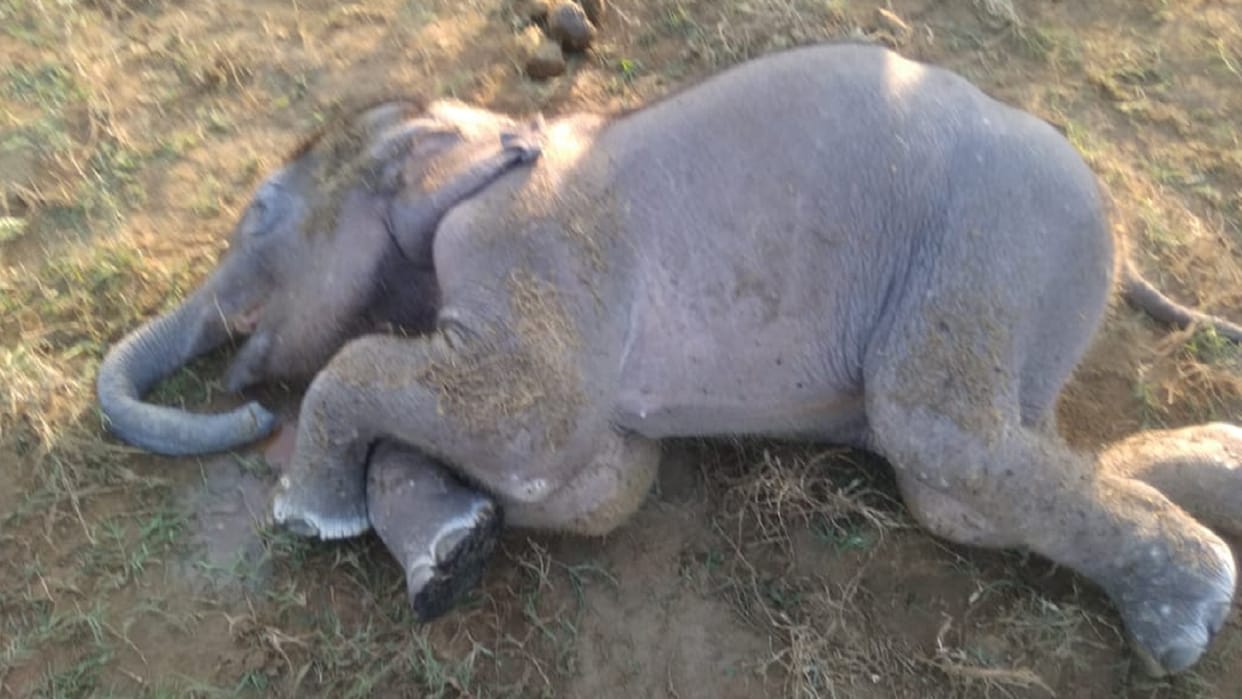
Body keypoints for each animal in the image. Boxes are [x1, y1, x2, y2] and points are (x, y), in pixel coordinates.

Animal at [96, 43, 1242, 676]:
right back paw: (1218, 478)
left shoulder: (532, 247)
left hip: (994, 236)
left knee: (943, 442)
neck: (491, 129)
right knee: (963, 483)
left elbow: (529, 421)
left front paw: (308, 514)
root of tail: (1118, 226)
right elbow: (598, 481)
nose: (249, 407)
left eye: (258, 212)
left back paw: (1188, 622)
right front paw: (455, 548)